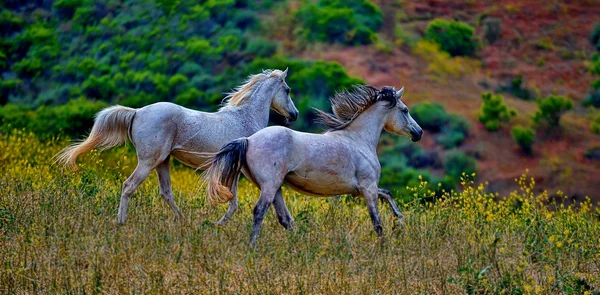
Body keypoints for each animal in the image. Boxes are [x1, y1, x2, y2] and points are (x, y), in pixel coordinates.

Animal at [58, 69, 298, 225]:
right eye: (287, 90)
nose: (294, 115)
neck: (244, 118)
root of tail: (137, 112)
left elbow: (233, 200)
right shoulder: (238, 169)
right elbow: (234, 202)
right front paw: (218, 224)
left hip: (163, 161)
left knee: (166, 193)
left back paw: (184, 222)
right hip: (149, 161)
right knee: (128, 186)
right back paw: (121, 223)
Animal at [204, 85, 424, 245]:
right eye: (405, 110)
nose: (419, 132)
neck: (358, 139)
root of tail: (249, 140)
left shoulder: (360, 190)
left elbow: (387, 193)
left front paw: (399, 221)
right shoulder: (368, 187)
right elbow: (377, 221)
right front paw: (385, 245)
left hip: (274, 187)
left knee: (285, 219)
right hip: (269, 186)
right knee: (260, 212)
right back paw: (253, 247)